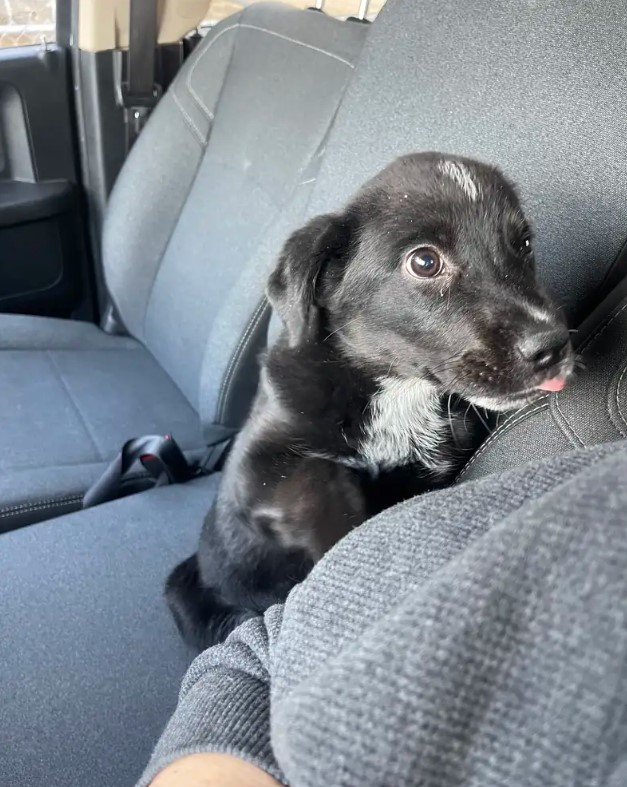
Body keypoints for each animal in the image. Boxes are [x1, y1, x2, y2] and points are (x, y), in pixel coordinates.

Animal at [166, 152, 576, 648]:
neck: (397, 391)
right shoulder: (253, 468)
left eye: (524, 244)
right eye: (425, 262)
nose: (553, 345)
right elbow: (318, 482)